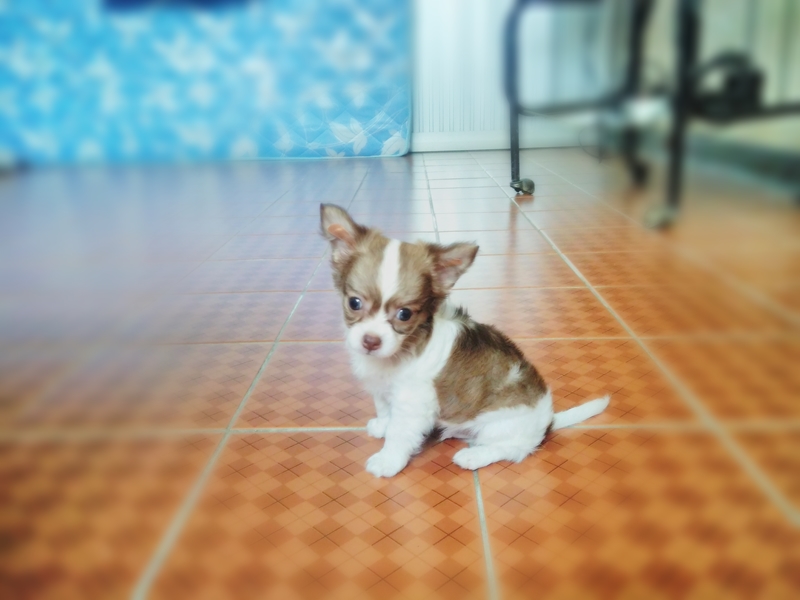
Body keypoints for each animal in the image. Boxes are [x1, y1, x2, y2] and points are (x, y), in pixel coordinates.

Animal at [320, 204, 609, 478]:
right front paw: (382, 425)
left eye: (404, 314)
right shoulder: (383, 390)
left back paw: (473, 456)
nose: (371, 341)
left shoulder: (412, 403)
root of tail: (548, 419)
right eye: (354, 303)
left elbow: (399, 434)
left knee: (512, 449)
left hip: (501, 427)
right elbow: (384, 410)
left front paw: (387, 461)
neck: (402, 351)